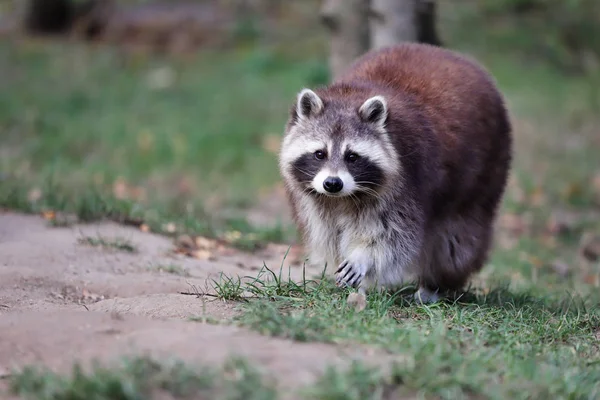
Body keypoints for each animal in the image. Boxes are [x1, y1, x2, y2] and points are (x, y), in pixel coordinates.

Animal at [280, 42, 510, 302]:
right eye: (320, 154)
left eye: (352, 157)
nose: (333, 183)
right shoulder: (315, 198)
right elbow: (328, 230)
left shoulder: (408, 180)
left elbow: (393, 235)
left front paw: (363, 257)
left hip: (487, 169)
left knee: (456, 241)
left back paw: (436, 284)